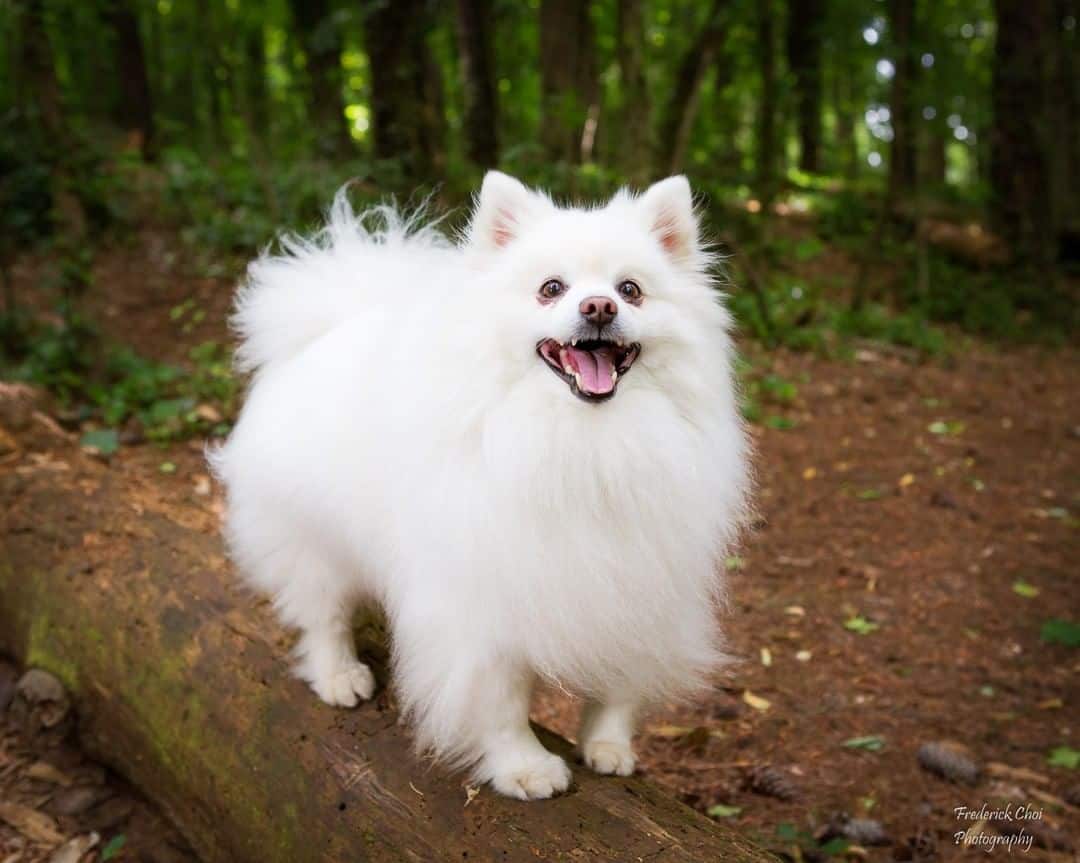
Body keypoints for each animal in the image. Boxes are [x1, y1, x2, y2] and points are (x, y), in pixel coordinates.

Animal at [210, 171, 751, 799]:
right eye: (551, 289)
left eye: (631, 290)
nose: (598, 306)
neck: (584, 441)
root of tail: (329, 327)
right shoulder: (481, 600)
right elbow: (500, 699)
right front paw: (525, 767)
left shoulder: (642, 582)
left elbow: (621, 682)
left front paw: (609, 745)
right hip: (312, 540)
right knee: (323, 614)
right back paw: (339, 675)